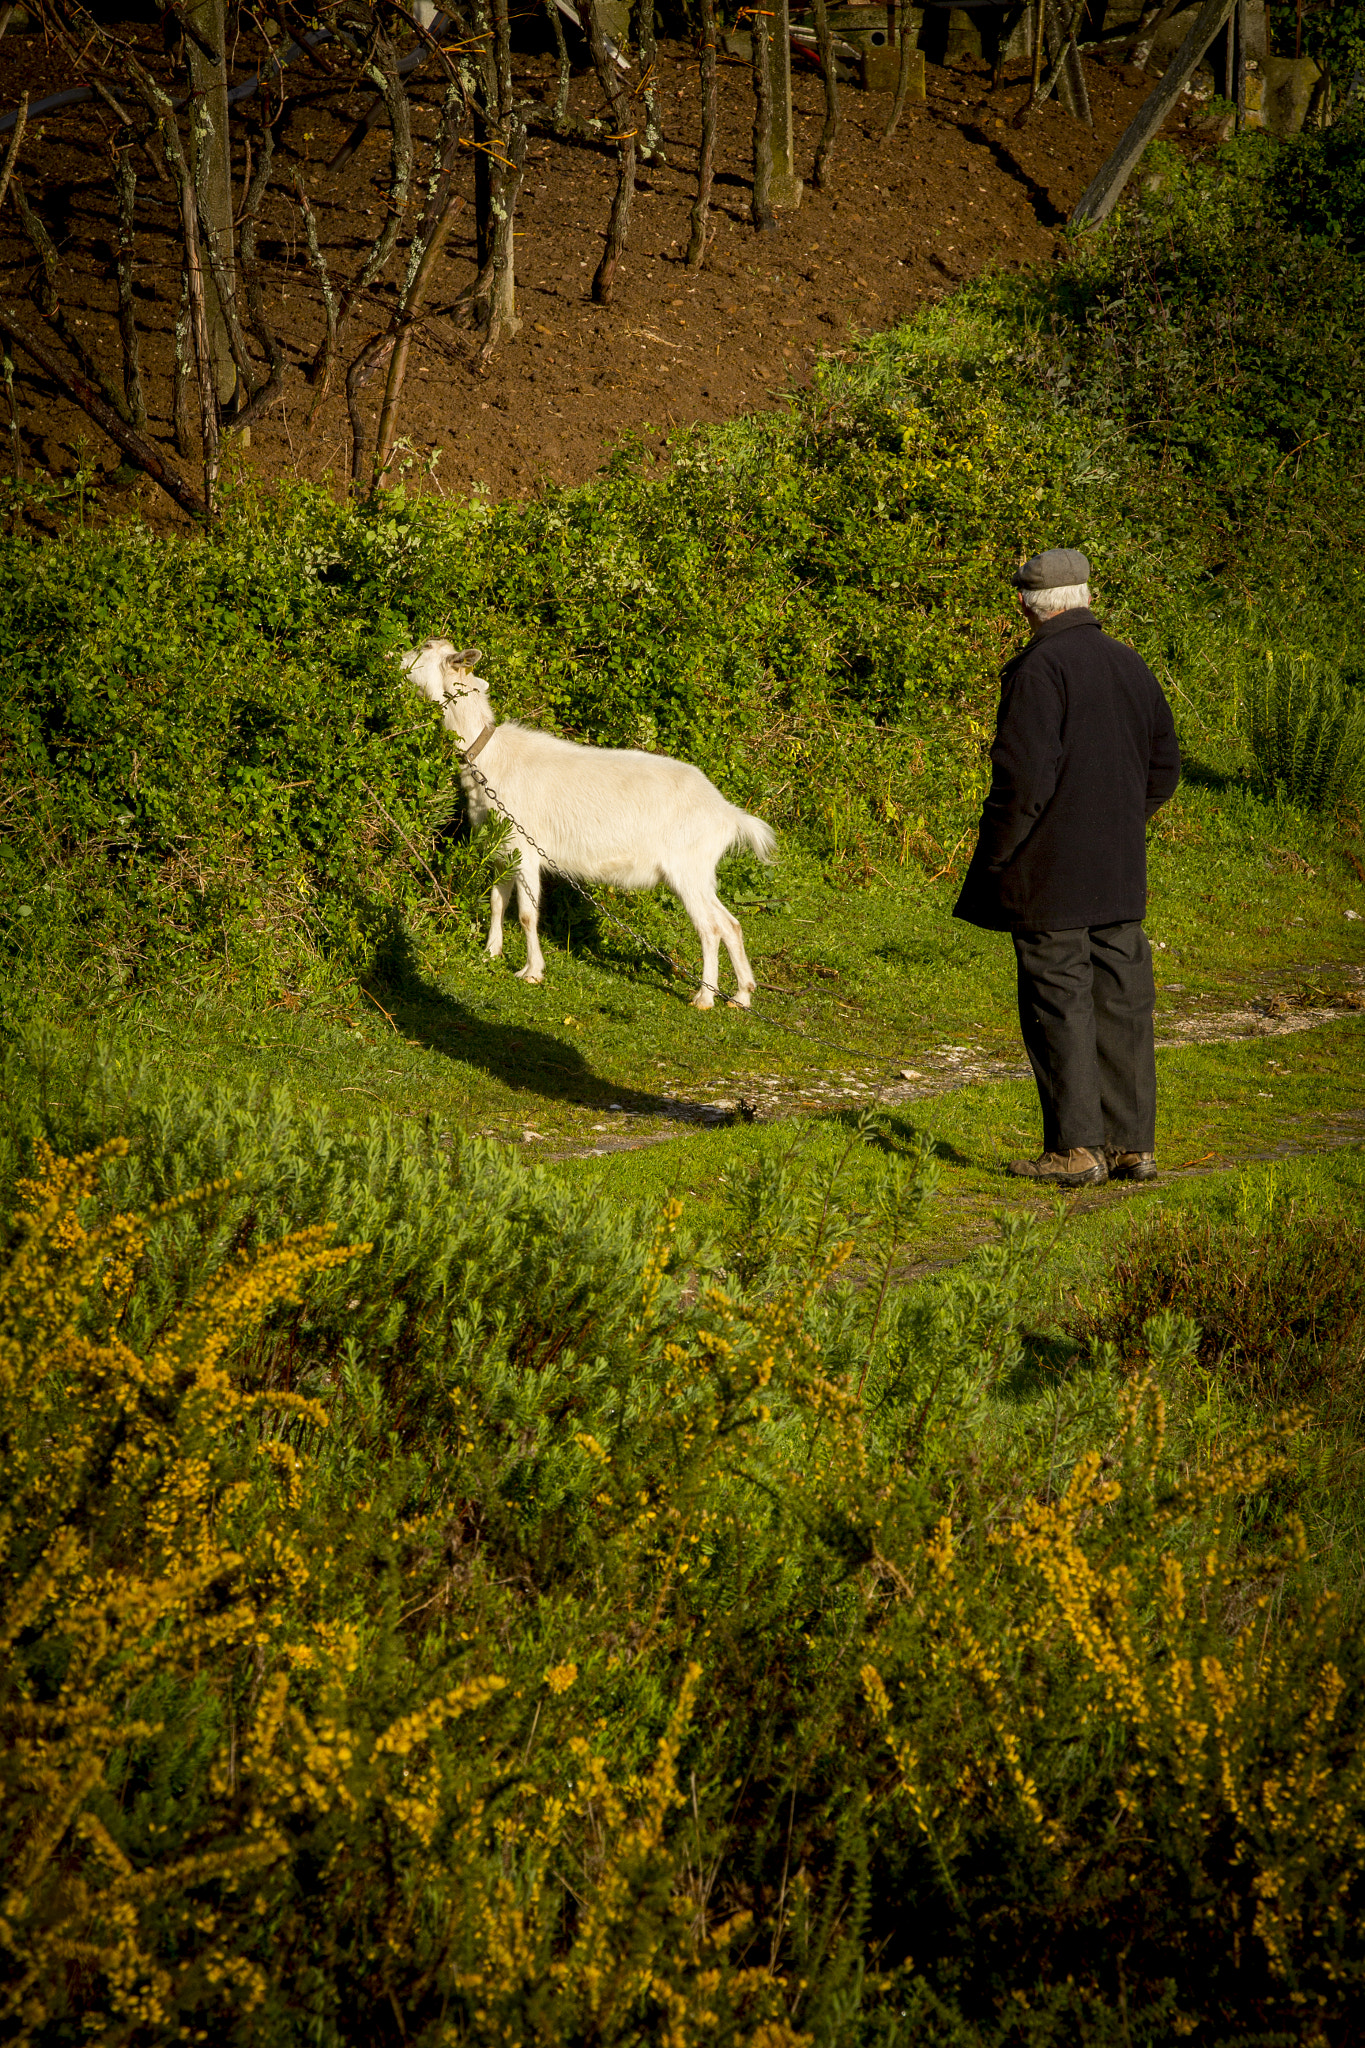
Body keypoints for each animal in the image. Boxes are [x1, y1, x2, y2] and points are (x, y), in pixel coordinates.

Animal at [402, 638, 775, 1008]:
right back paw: (741, 995)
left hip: (686, 869)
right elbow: (497, 902)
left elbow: (526, 913)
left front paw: (532, 972)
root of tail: (728, 813)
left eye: (425, 647)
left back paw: (704, 997)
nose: (396, 658)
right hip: (699, 873)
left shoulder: (526, 850)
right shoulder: (502, 850)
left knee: (710, 928)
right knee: (730, 924)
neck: (490, 758)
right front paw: (490, 953)